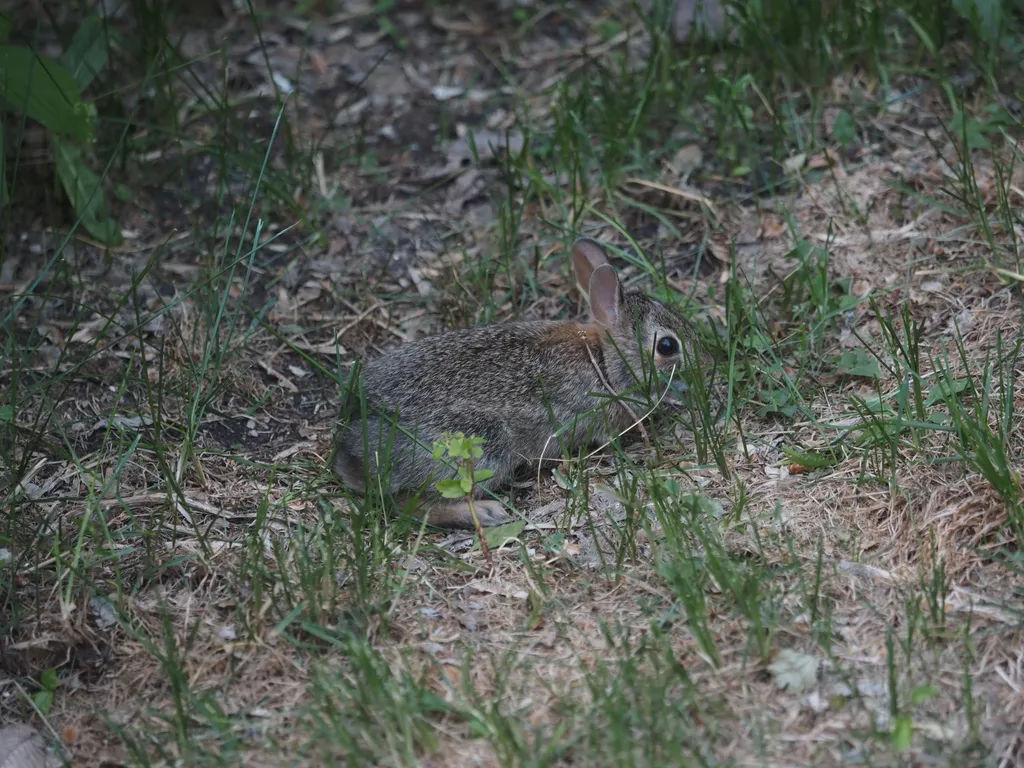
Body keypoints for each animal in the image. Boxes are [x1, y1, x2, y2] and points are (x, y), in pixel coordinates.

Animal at [331, 237, 708, 532]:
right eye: (667, 346)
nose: (704, 362)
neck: (604, 359)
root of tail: (353, 450)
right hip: (478, 448)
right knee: (409, 504)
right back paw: (485, 512)